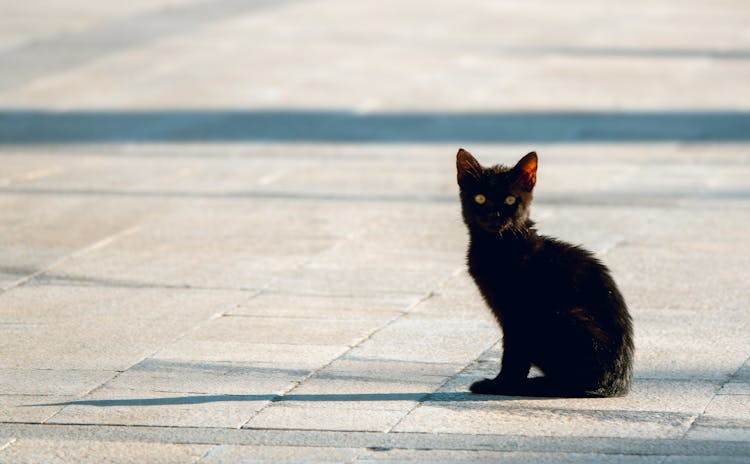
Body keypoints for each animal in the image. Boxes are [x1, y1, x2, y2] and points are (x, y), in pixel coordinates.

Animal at [458, 150, 636, 398]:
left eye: (510, 200)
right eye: (480, 198)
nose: (494, 214)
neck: (498, 246)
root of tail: (618, 384)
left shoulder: (518, 314)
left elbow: (514, 355)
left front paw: (502, 385)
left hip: (558, 313)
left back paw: (533, 385)